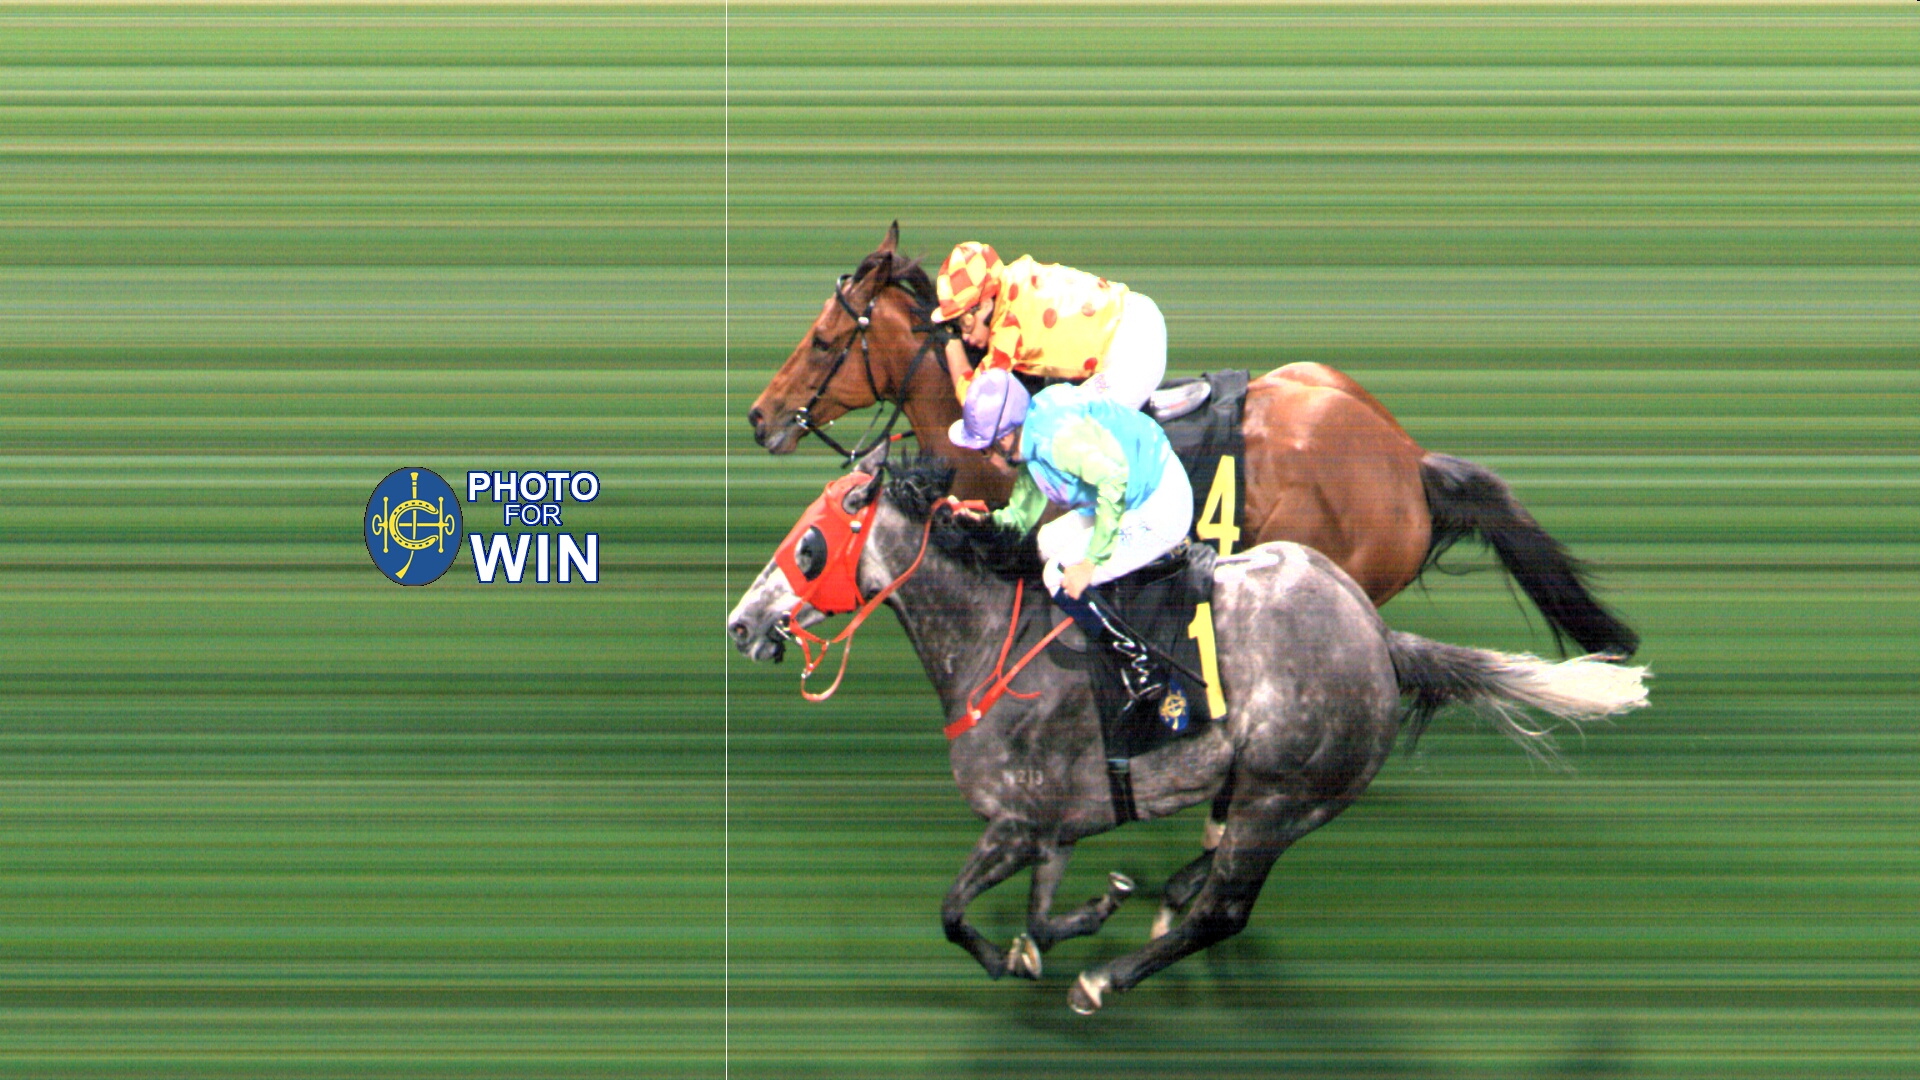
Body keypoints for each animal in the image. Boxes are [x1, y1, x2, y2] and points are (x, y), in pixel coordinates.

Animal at [725, 448, 1648, 1014]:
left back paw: (1111, 977)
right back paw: (1161, 901)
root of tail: (1379, 638)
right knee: (1210, 882)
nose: (741, 624)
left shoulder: (1016, 821)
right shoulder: (1059, 827)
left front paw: (1035, 955)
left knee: (1226, 910)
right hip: (1271, 793)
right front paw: (1084, 915)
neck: (993, 642)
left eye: (809, 541)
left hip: (1283, 793)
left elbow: (953, 912)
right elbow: (1039, 915)